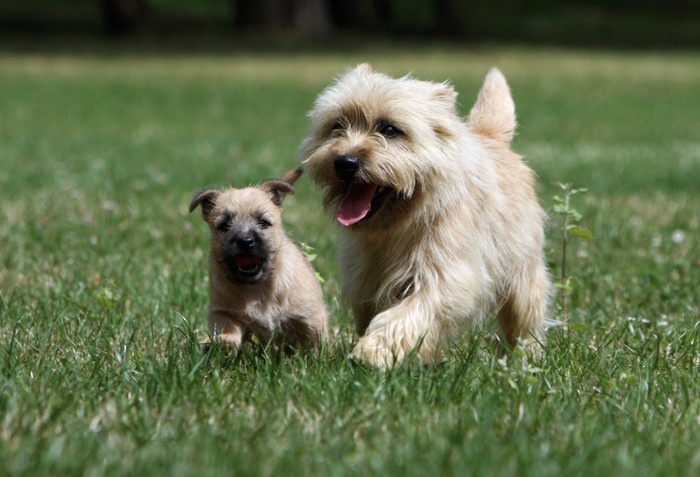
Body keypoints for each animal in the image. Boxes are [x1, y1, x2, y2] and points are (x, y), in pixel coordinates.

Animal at [187, 169, 326, 348]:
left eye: (263, 222)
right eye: (224, 225)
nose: (245, 241)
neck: (257, 287)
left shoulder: (310, 315)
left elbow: (315, 341)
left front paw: (320, 355)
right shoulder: (221, 310)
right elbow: (227, 325)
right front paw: (226, 341)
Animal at [300, 64, 552, 368]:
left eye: (390, 129)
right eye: (338, 125)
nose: (345, 161)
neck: (397, 228)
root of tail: (492, 139)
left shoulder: (441, 275)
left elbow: (411, 312)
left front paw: (374, 352)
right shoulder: (364, 280)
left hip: (522, 274)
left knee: (524, 319)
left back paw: (529, 355)